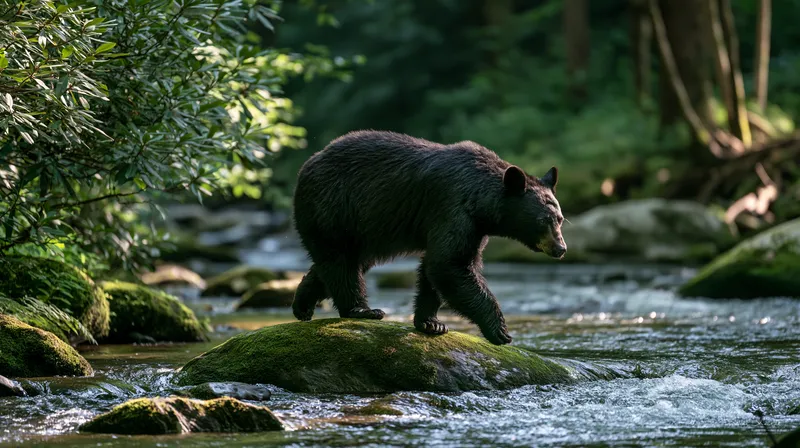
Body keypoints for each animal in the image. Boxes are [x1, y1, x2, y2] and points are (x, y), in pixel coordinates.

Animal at [290, 130, 566, 345]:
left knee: (345, 262)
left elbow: (437, 267)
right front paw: (500, 330)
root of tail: (307, 165)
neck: (481, 201)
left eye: (560, 218)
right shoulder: (454, 208)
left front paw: (431, 323)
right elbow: (449, 263)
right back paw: (362, 310)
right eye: (544, 220)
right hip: (333, 208)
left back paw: (302, 304)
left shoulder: (475, 227)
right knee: (340, 261)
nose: (561, 248)